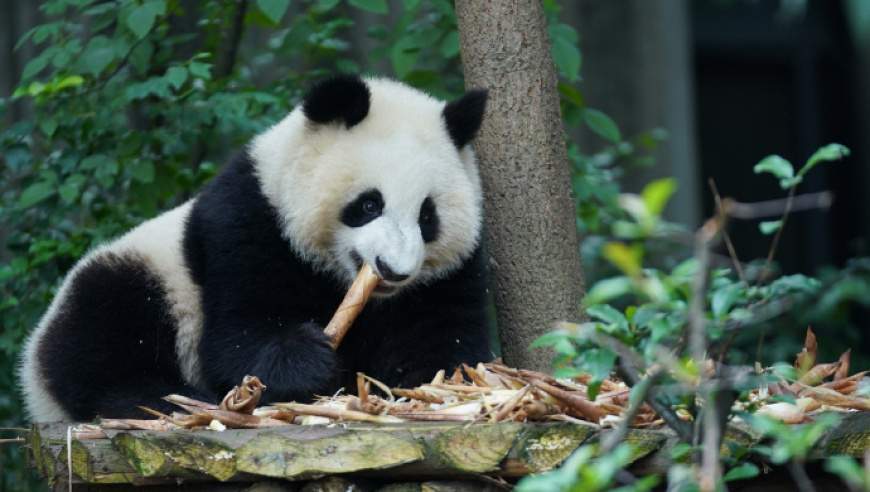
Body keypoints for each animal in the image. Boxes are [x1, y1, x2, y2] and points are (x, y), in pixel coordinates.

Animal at [20, 75, 494, 420]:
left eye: (427, 216)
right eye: (368, 204)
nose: (393, 270)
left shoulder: (446, 275)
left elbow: (438, 336)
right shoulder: (248, 222)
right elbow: (239, 334)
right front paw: (307, 359)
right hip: (138, 275)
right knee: (97, 340)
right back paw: (165, 398)